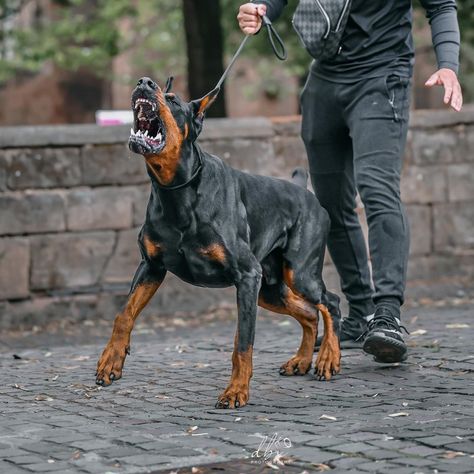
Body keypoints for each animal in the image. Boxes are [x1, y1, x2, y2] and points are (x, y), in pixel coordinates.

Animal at [95, 75, 340, 408]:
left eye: (173, 100)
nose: (144, 82)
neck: (176, 191)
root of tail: (304, 191)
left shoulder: (247, 275)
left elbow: (243, 342)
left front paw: (236, 391)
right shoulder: (151, 266)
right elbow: (124, 314)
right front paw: (111, 360)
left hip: (298, 273)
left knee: (330, 303)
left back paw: (329, 359)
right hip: (269, 289)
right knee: (310, 312)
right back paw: (301, 361)